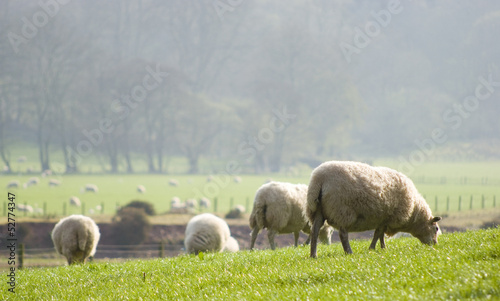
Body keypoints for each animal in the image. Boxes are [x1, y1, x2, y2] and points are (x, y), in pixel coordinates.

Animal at [304, 161, 442, 256]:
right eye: (436, 228)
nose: (435, 244)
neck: (414, 210)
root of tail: (319, 179)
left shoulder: (383, 218)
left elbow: (379, 234)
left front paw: (382, 247)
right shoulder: (387, 217)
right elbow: (378, 234)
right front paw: (373, 248)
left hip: (318, 210)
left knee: (314, 231)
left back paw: (313, 255)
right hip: (342, 210)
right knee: (342, 234)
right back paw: (349, 252)